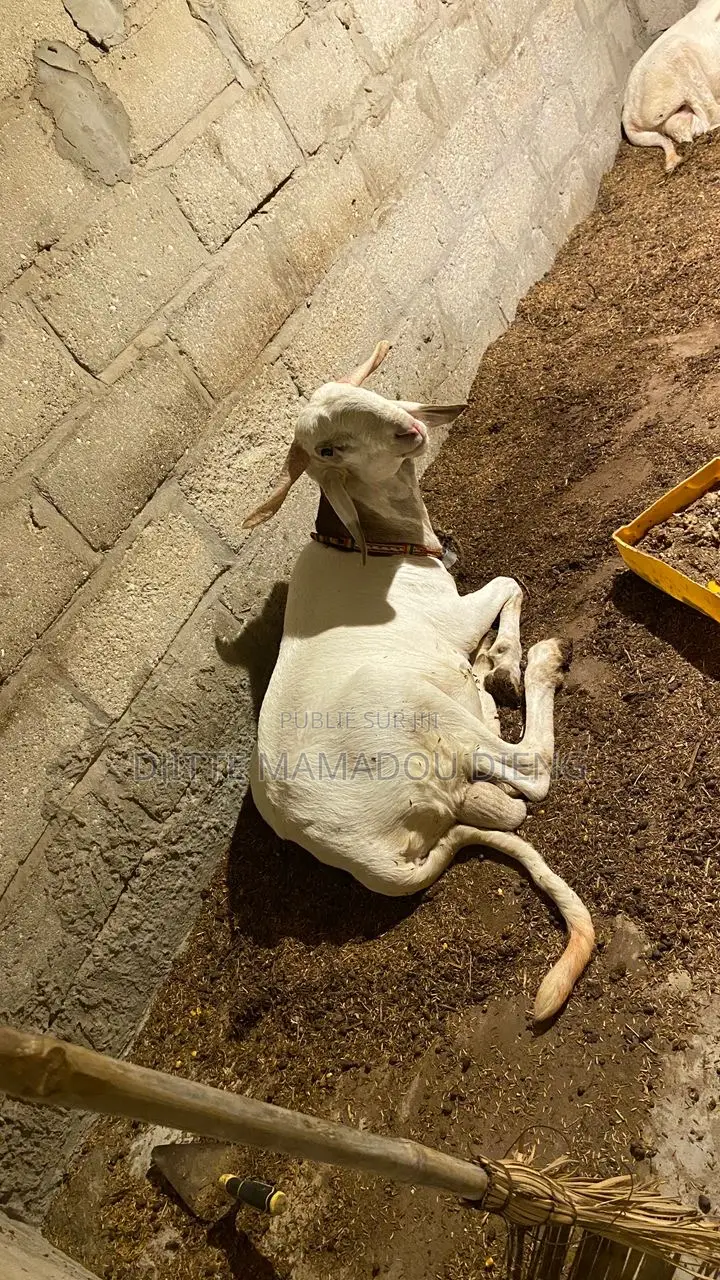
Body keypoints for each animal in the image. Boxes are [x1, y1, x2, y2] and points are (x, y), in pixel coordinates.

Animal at [242, 343, 594, 1024]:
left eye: (367, 393)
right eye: (327, 448)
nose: (410, 429)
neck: (376, 546)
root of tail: (367, 855)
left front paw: (492, 664)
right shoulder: (450, 615)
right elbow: (510, 582)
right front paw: (506, 658)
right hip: (414, 707)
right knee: (529, 772)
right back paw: (535, 664)